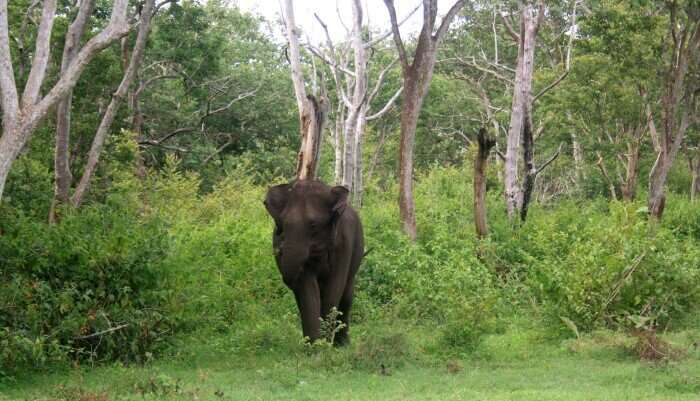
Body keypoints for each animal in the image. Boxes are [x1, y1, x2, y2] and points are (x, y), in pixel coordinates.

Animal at [264, 179, 366, 344]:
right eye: (283, 224)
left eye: (313, 225)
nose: (280, 249)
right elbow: (308, 291)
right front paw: (315, 344)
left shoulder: (344, 243)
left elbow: (334, 287)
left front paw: (325, 342)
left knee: (347, 293)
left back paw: (343, 343)